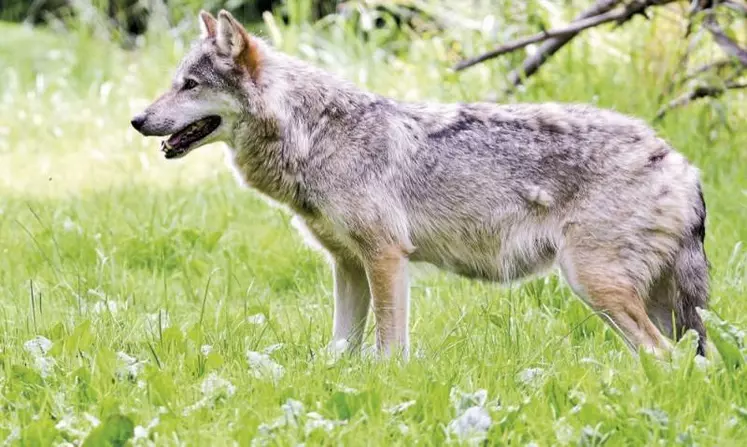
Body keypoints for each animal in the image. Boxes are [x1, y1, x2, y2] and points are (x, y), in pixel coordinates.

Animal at [131, 9, 712, 360]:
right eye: (174, 82)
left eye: (190, 85)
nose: (137, 120)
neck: (314, 135)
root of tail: (681, 162)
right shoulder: (347, 265)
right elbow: (340, 346)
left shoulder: (386, 256)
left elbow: (389, 345)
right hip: (642, 300)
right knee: (686, 359)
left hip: (595, 285)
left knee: (664, 356)